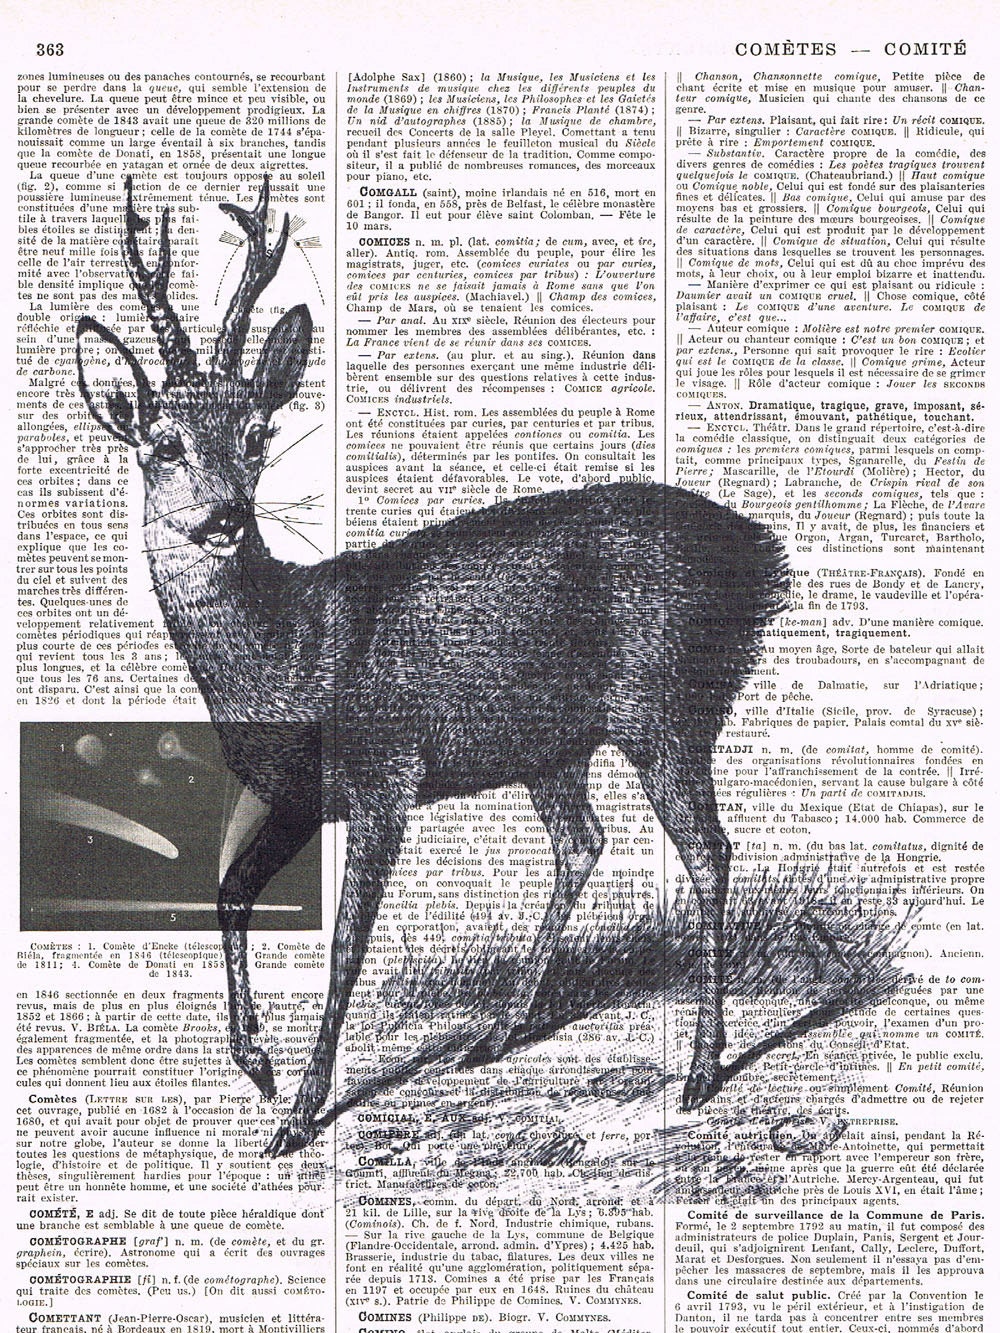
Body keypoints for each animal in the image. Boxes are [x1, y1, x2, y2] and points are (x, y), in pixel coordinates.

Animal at [76, 179, 789, 1157]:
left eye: (258, 433)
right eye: (164, 443)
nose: (225, 518)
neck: (289, 654)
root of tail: (766, 560)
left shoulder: (385, 774)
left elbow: (344, 946)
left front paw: (300, 1113)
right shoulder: (299, 793)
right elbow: (229, 892)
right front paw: (256, 1065)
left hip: (667, 710)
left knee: (709, 851)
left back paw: (701, 1070)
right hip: (555, 744)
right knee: (583, 842)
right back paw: (497, 1033)